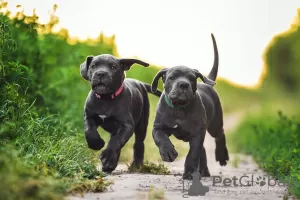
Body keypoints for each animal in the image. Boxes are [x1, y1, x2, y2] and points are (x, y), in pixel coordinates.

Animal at [151, 33, 229, 179]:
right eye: (172, 77)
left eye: (192, 78)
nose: (183, 84)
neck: (179, 108)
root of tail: (208, 84)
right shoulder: (158, 127)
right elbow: (160, 138)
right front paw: (168, 152)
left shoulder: (197, 133)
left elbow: (192, 154)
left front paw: (188, 173)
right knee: (203, 150)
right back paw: (204, 172)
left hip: (214, 124)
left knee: (219, 134)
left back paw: (221, 157)